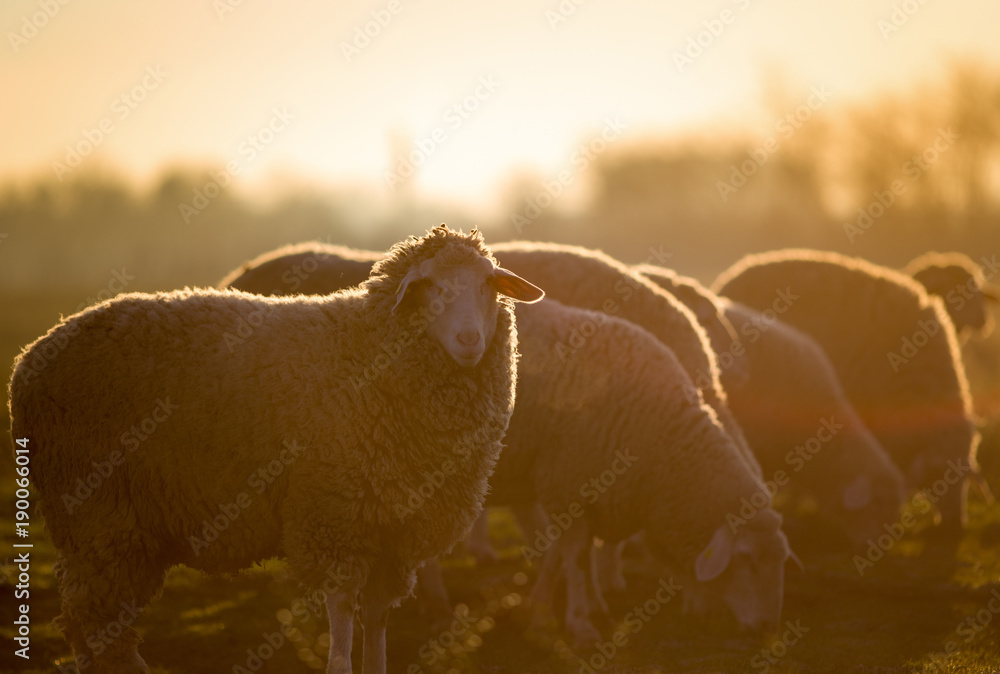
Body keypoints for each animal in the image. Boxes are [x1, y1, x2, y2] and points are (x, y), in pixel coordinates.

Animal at [8, 225, 544, 674]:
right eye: (429, 286)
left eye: (487, 285)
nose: (470, 339)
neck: (371, 351)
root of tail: (28, 360)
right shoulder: (334, 514)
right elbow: (342, 610)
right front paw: (340, 664)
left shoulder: (392, 529)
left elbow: (376, 616)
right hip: (97, 513)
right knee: (95, 623)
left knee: (93, 625)